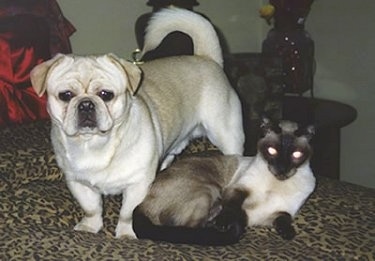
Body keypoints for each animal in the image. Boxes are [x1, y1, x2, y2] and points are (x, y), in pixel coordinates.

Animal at [30, 6, 245, 238]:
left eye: (106, 95)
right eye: (65, 95)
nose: (86, 104)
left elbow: (127, 213)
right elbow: (92, 209)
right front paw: (90, 227)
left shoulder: (137, 185)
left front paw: (126, 233)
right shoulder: (79, 184)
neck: (94, 145)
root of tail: (207, 59)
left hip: (225, 134)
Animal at [134, 119, 316, 245]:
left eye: (296, 154)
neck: (277, 184)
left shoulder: (275, 215)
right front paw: (223, 224)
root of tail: (140, 205)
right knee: (189, 228)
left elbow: (284, 220)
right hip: (209, 189)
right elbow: (231, 208)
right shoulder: (236, 191)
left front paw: (288, 233)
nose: (282, 169)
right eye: (272, 151)